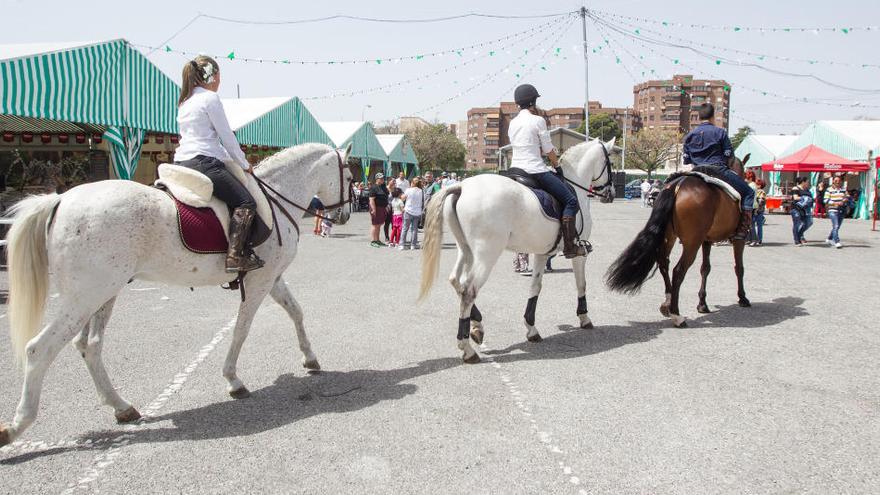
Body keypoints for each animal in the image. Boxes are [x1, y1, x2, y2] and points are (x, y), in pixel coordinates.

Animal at [608, 155, 752, 326]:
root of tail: (677, 185)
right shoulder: (738, 239)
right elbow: (739, 268)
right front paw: (742, 298)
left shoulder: (706, 241)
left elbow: (705, 268)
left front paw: (702, 304)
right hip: (691, 242)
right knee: (678, 271)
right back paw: (676, 314)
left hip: (669, 236)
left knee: (664, 264)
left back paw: (667, 304)